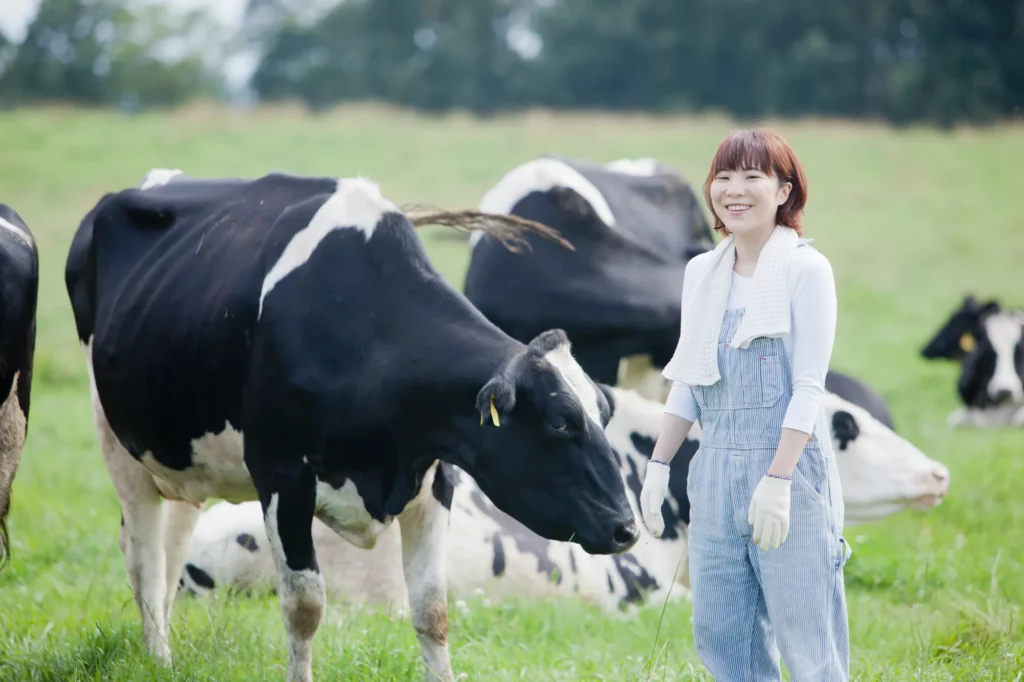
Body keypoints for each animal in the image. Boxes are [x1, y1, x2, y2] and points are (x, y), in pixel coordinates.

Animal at [61, 168, 638, 679]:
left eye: (604, 412)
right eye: (561, 422)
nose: (627, 528)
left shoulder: (434, 479)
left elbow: (432, 609)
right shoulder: (282, 474)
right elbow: (304, 606)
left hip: (187, 460)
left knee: (173, 548)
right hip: (117, 442)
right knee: (144, 557)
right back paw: (158, 658)